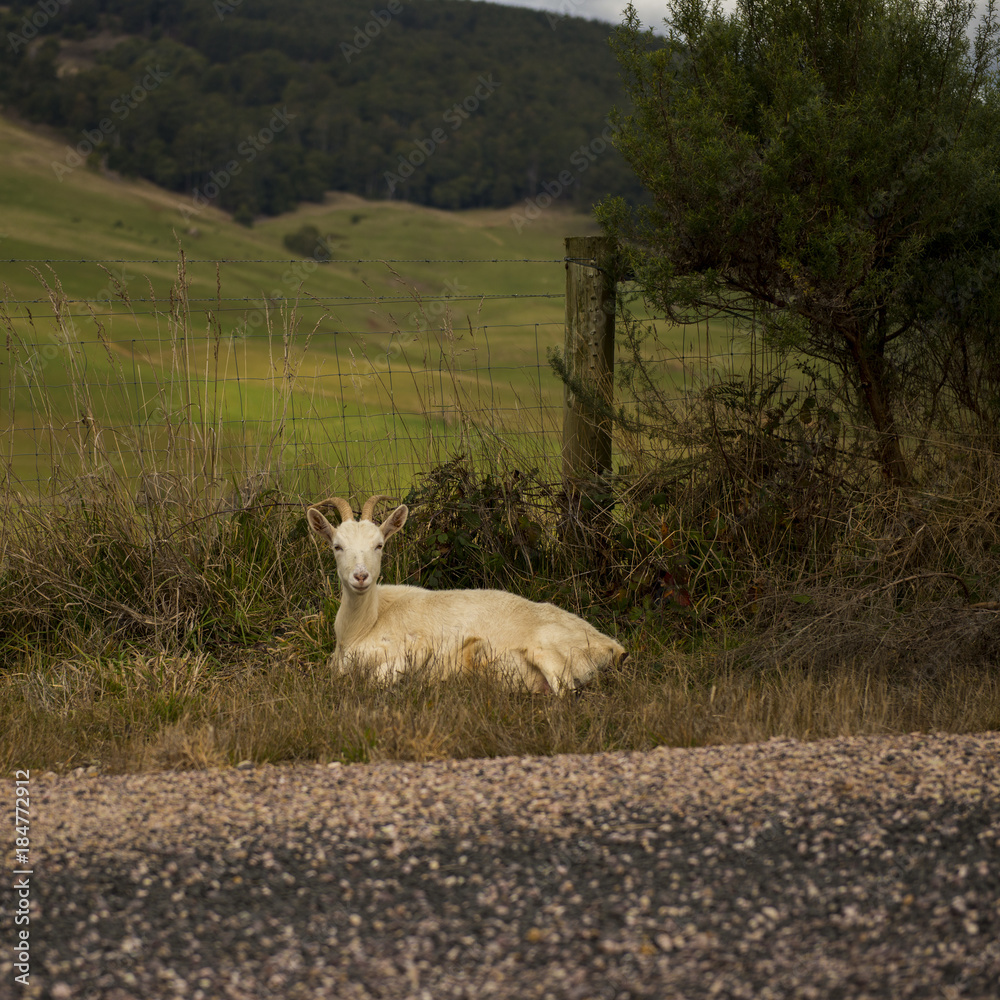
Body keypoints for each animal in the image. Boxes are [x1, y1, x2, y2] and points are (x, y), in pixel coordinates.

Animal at [306, 494, 625, 693]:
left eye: (379, 545)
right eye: (337, 546)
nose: (361, 577)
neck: (362, 627)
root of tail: (613, 647)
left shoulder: (416, 647)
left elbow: (377, 680)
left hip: (550, 652)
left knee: (567, 694)